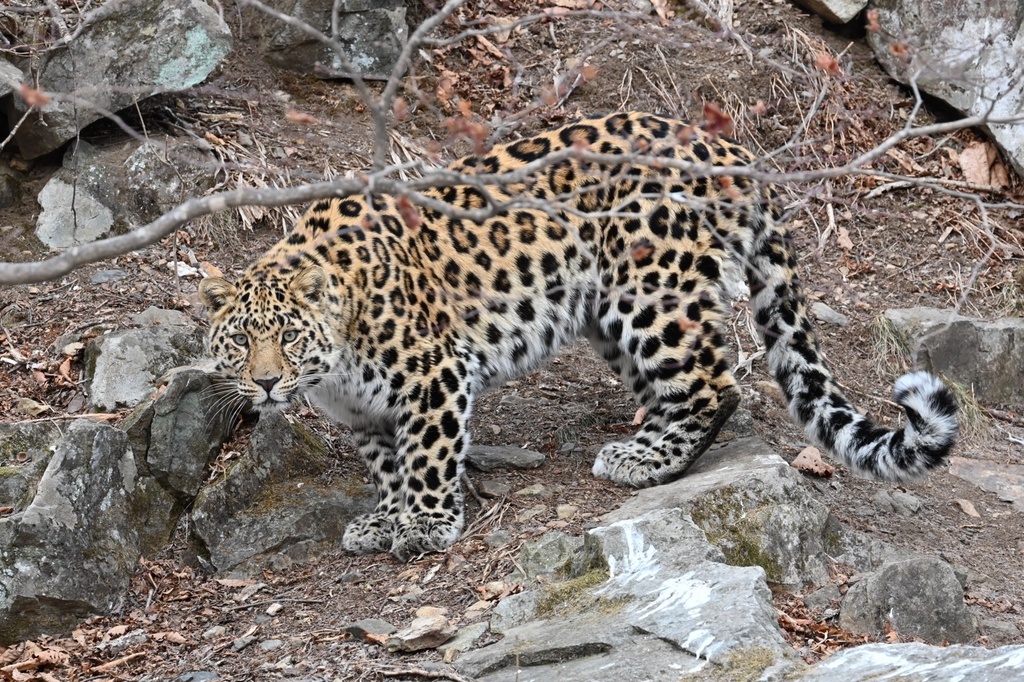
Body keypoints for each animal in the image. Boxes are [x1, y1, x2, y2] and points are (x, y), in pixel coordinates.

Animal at [199, 111, 959, 562]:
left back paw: (647, 462)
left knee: (716, 383)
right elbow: (388, 465)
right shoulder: (365, 413)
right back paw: (644, 445)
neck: (332, 363)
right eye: (239, 342)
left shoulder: (433, 377)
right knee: (676, 388)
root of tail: (725, 146)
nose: (265, 382)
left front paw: (424, 525)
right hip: (608, 315)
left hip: (649, 289)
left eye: (287, 336)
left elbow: (427, 458)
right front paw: (384, 518)